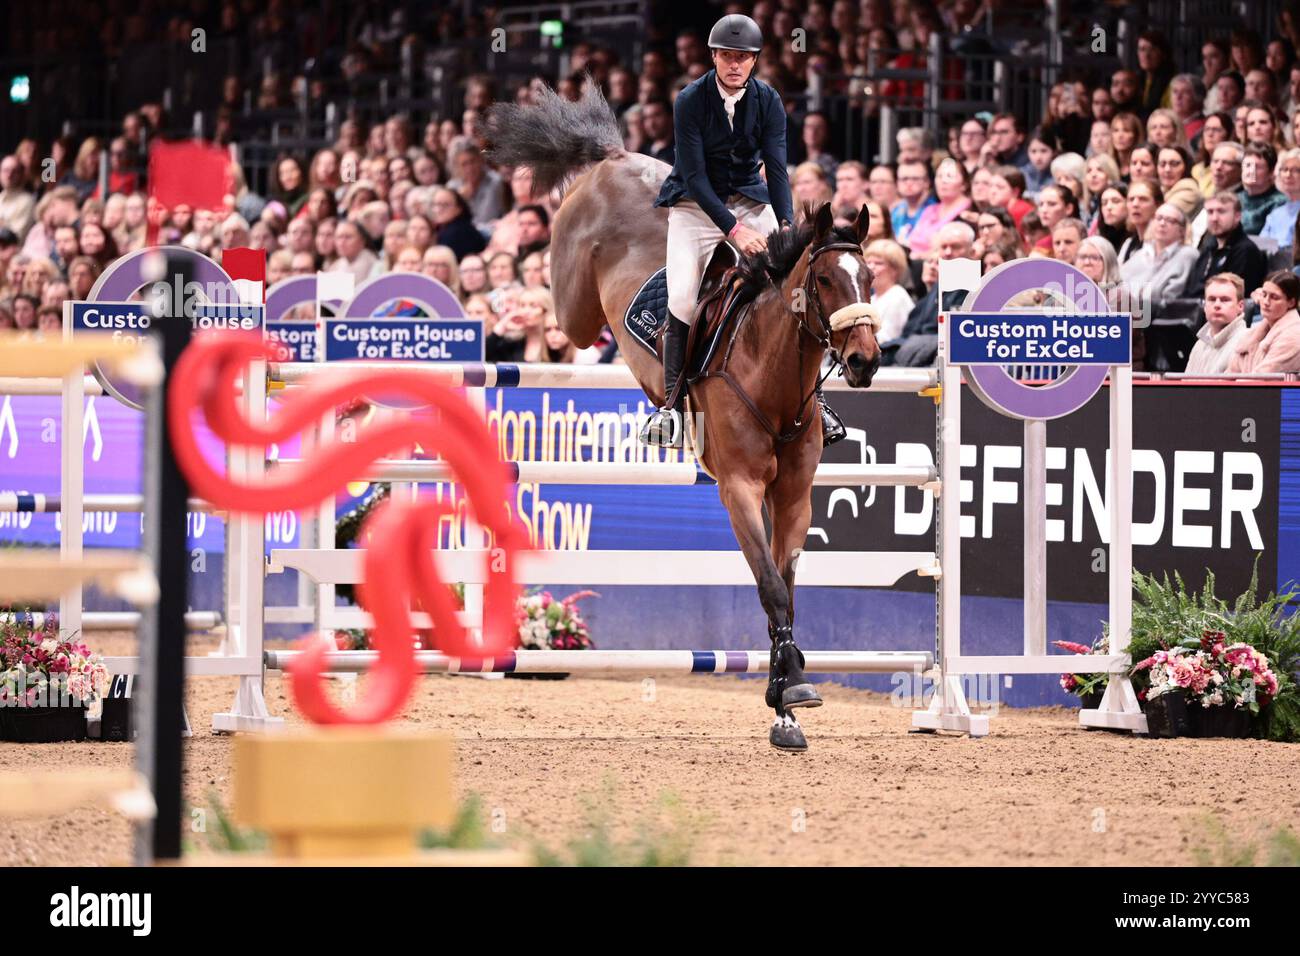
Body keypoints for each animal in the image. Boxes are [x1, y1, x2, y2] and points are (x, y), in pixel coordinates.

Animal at [488, 82, 883, 749]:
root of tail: (614, 156)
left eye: (871, 278)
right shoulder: (740, 488)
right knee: (570, 319)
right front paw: (792, 688)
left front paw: (784, 699)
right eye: (827, 279)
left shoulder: (793, 495)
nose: (865, 360)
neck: (773, 377)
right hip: (577, 303)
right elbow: (771, 588)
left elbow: (786, 586)